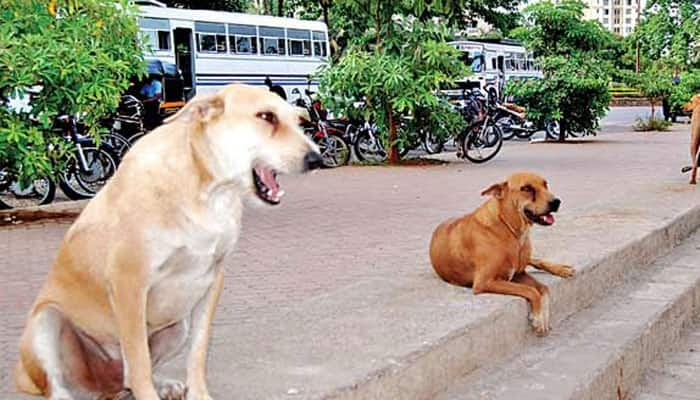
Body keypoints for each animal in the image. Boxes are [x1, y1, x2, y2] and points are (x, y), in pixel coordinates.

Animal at [15, 84, 322, 400]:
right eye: (266, 116)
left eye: (298, 121)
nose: (317, 159)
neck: (206, 190)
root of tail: (103, 387)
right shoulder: (129, 282)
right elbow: (138, 361)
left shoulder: (212, 281)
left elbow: (197, 352)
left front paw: (198, 393)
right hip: (47, 321)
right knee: (65, 384)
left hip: (177, 327)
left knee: (129, 375)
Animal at [430, 172, 576, 334]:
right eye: (526, 188)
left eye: (545, 185)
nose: (556, 202)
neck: (511, 230)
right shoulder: (485, 282)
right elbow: (531, 290)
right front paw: (538, 318)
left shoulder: (519, 273)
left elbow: (543, 289)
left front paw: (541, 317)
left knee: (535, 260)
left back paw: (562, 269)